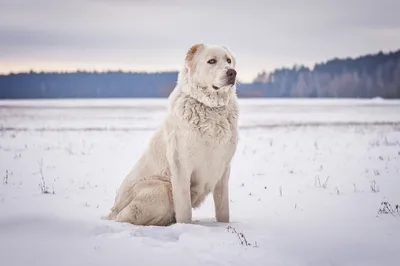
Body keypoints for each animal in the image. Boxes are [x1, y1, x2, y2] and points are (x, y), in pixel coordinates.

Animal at [104, 42, 239, 225]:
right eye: (211, 61)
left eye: (229, 60)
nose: (232, 72)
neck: (211, 109)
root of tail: (113, 210)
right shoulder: (181, 168)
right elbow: (185, 211)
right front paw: (185, 227)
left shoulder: (223, 170)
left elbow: (223, 210)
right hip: (161, 190)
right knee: (124, 217)